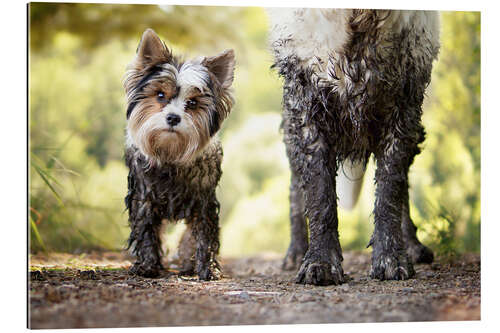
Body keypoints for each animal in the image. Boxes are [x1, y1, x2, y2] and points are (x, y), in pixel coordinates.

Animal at [124, 28, 235, 278]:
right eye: (160, 95)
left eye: (192, 103)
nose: (173, 118)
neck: (170, 154)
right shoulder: (144, 197)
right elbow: (146, 230)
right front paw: (148, 265)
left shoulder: (203, 200)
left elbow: (203, 234)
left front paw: (207, 268)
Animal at [270, 10, 438, 286]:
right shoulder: (306, 102)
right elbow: (319, 195)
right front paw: (320, 261)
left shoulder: (405, 98)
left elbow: (390, 192)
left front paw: (391, 258)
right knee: (296, 190)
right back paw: (295, 252)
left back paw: (412, 246)